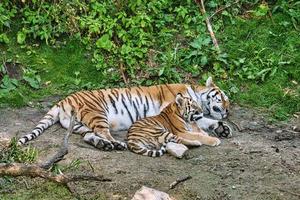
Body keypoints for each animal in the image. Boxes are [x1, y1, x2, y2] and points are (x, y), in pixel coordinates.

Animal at [18, 76, 230, 150]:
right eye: (222, 97)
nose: (228, 110)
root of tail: (63, 100)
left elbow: (205, 122)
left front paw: (222, 128)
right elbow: (197, 126)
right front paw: (215, 134)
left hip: (79, 125)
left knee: (89, 136)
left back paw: (105, 145)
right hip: (97, 113)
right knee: (103, 132)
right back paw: (117, 144)